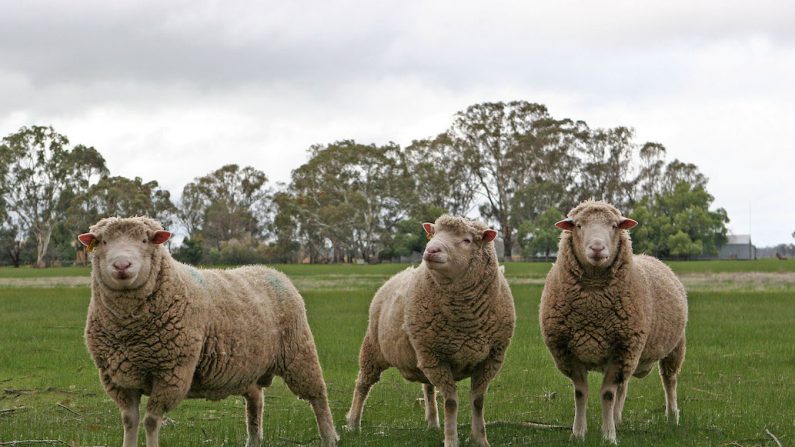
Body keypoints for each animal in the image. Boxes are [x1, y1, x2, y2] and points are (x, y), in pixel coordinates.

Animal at [75, 218, 336, 447]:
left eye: (144, 240)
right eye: (103, 241)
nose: (121, 266)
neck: (129, 331)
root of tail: (269, 270)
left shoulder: (171, 373)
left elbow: (150, 421)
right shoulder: (118, 378)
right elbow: (130, 421)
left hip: (299, 353)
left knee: (318, 396)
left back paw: (329, 437)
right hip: (249, 367)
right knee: (255, 401)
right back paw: (253, 440)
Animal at [346, 215, 516, 446]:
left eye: (467, 240)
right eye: (433, 234)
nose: (431, 250)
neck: (466, 322)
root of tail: (400, 273)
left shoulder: (490, 359)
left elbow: (478, 401)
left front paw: (480, 439)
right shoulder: (437, 357)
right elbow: (451, 402)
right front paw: (451, 440)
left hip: (422, 356)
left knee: (428, 388)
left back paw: (433, 423)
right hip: (375, 348)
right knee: (363, 383)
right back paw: (353, 424)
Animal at [540, 200, 692, 444]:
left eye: (613, 226)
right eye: (579, 225)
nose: (597, 248)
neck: (592, 307)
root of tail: (651, 257)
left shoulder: (621, 348)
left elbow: (607, 394)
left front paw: (609, 436)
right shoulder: (570, 352)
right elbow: (581, 393)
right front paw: (578, 433)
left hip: (673, 347)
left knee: (669, 380)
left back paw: (672, 416)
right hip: (632, 354)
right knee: (624, 386)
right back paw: (618, 418)